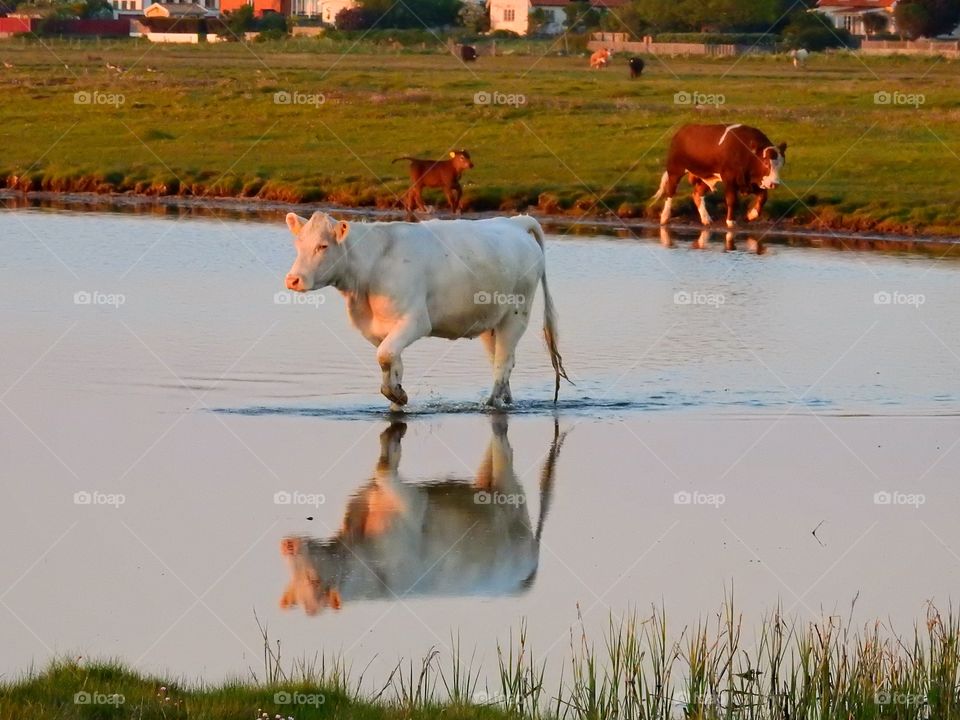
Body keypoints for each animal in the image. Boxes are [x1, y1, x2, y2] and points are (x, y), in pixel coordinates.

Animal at [284, 211, 568, 408]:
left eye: (323, 245)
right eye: (298, 245)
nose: (293, 279)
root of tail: (515, 222)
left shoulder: (416, 320)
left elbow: (385, 355)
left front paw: (397, 394)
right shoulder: (377, 329)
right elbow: (392, 362)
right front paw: (396, 395)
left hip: (517, 313)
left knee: (503, 362)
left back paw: (491, 404)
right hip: (491, 321)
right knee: (500, 359)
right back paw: (506, 400)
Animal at [648, 122, 792, 226]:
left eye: (782, 163)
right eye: (766, 163)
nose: (774, 183)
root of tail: (683, 130)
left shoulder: (749, 182)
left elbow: (763, 197)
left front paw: (752, 215)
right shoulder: (729, 179)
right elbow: (731, 199)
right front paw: (730, 221)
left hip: (706, 176)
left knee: (696, 194)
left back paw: (706, 219)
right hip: (675, 170)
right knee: (670, 192)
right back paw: (665, 217)